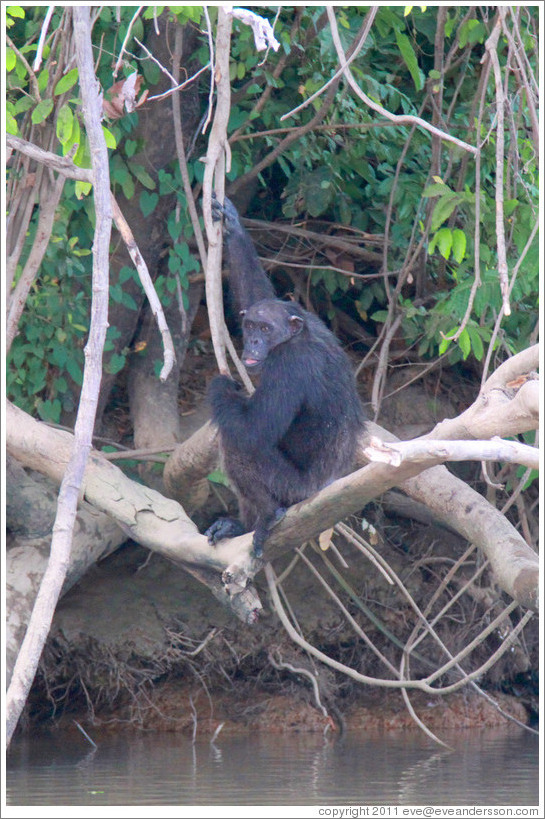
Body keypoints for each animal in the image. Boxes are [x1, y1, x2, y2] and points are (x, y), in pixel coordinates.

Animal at [205, 197, 366, 556]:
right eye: (251, 325)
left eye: (266, 329)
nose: (252, 340)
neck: (295, 336)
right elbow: (257, 294)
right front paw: (234, 227)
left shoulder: (290, 365)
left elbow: (254, 429)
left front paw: (221, 387)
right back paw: (239, 526)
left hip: (293, 491)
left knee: (237, 444)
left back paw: (266, 517)